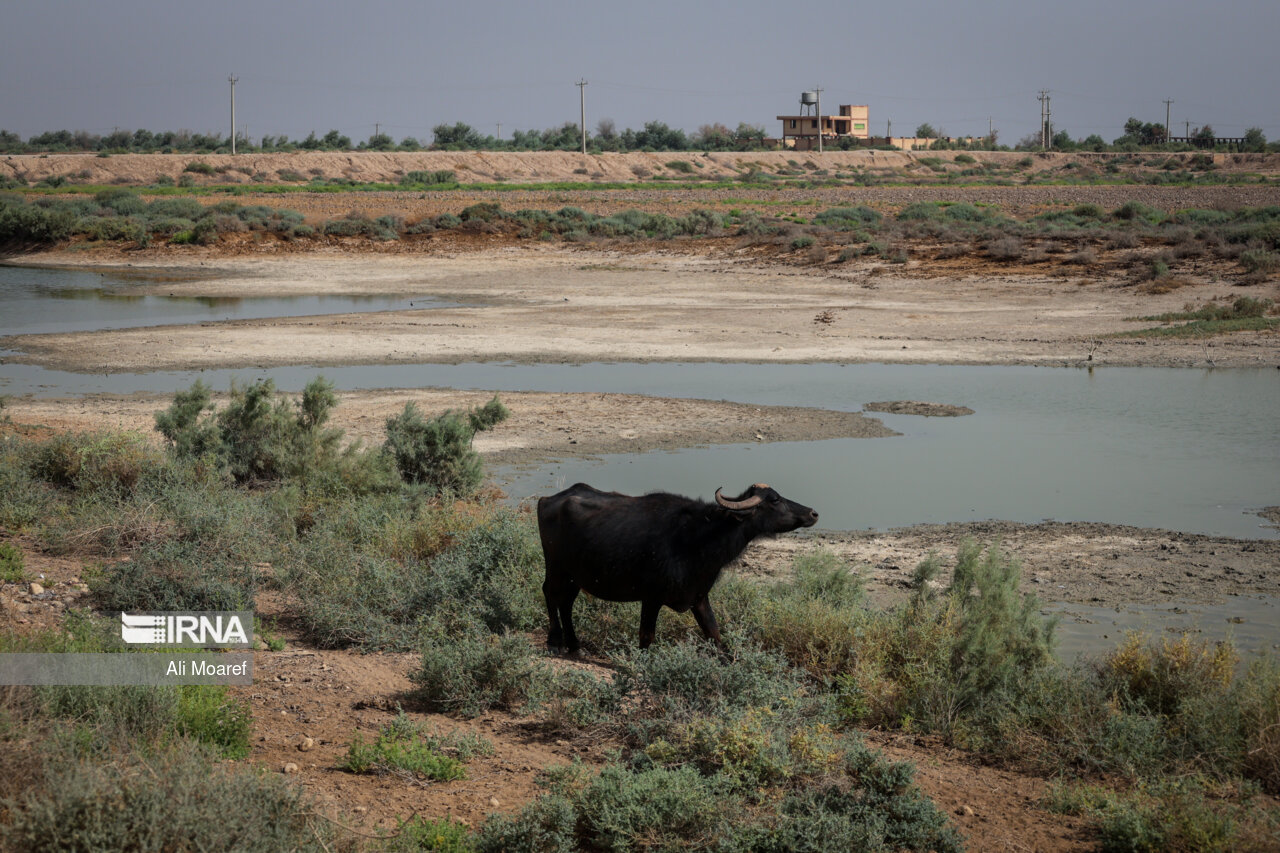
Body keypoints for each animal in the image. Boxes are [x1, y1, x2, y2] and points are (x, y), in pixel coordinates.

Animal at [532, 479, 814, 650]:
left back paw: (574, 644)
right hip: (556, 567)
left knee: (566, 602)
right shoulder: (651, 598)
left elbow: (716, 637)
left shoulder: (699, 598)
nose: (813, 513)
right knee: (550, 593)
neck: (698, 539)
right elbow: (646, 638)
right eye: (775, 499)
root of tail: (548, 499)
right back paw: (555, 640)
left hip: (574, 575)